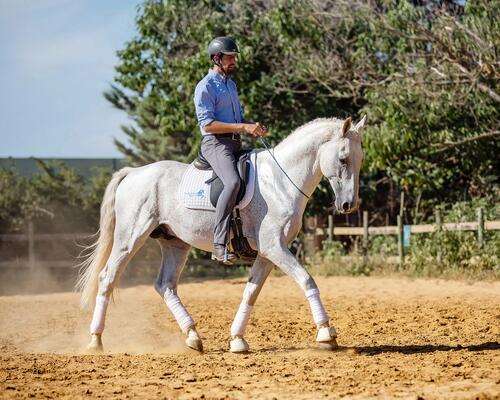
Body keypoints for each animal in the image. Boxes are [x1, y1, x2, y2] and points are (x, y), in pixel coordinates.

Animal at [78, 115, 366, 354]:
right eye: (343, 159)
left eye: (360, 158)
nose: (348, 205)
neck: (280, 182)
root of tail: (133, 173)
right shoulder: (275, 248)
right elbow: (307, 280)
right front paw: (326, 334)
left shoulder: (267, 253)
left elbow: (250, 293)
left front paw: (237, 340)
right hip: (130, 239)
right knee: (108, 277)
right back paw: (95, 340)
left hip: (175, 243)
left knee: (165, 285)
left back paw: (193, 336)